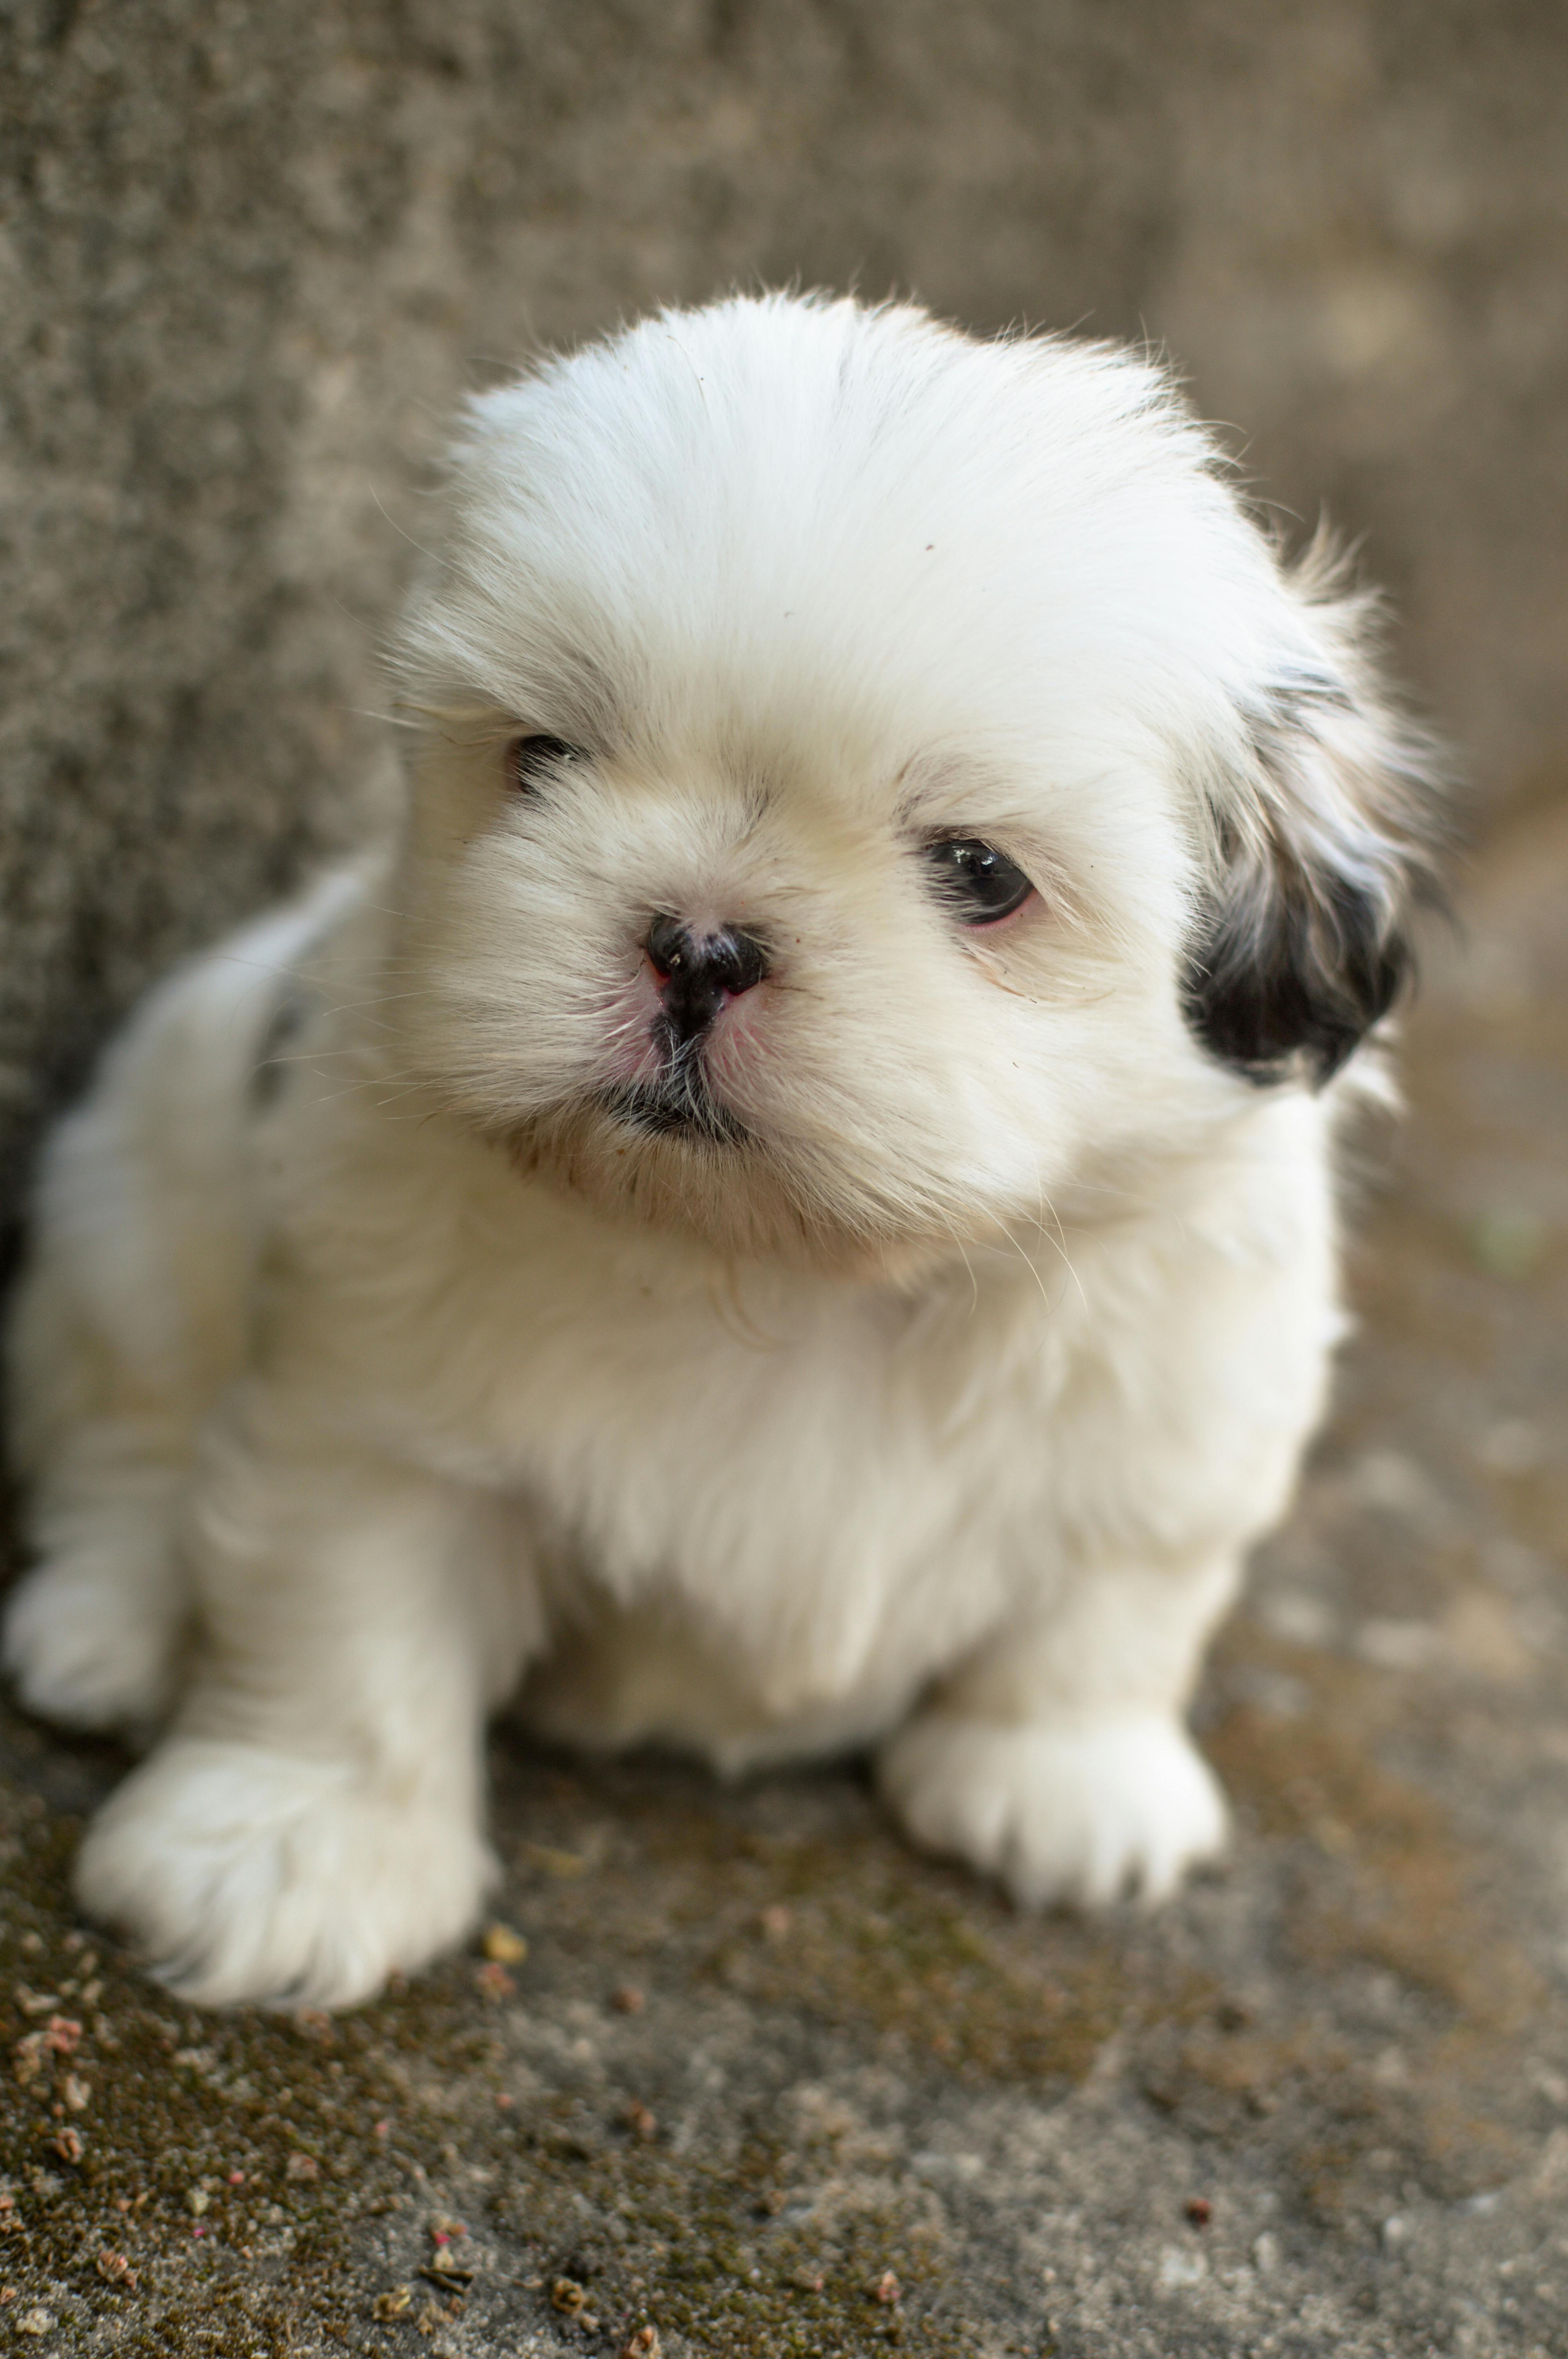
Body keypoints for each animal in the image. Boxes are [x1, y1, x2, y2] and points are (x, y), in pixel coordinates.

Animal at [3, 285, 1443, 2000]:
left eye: (980, 875)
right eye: (543, 758)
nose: (697, 941)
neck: (785, 1270)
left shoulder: (1180, 1410)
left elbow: (1108, 1608)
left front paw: (1065, 1780)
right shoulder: (369, 1412)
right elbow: (342, 1621)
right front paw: (291, 1850)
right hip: (136, 1197)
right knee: (128, 1430)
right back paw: (106, 1622)